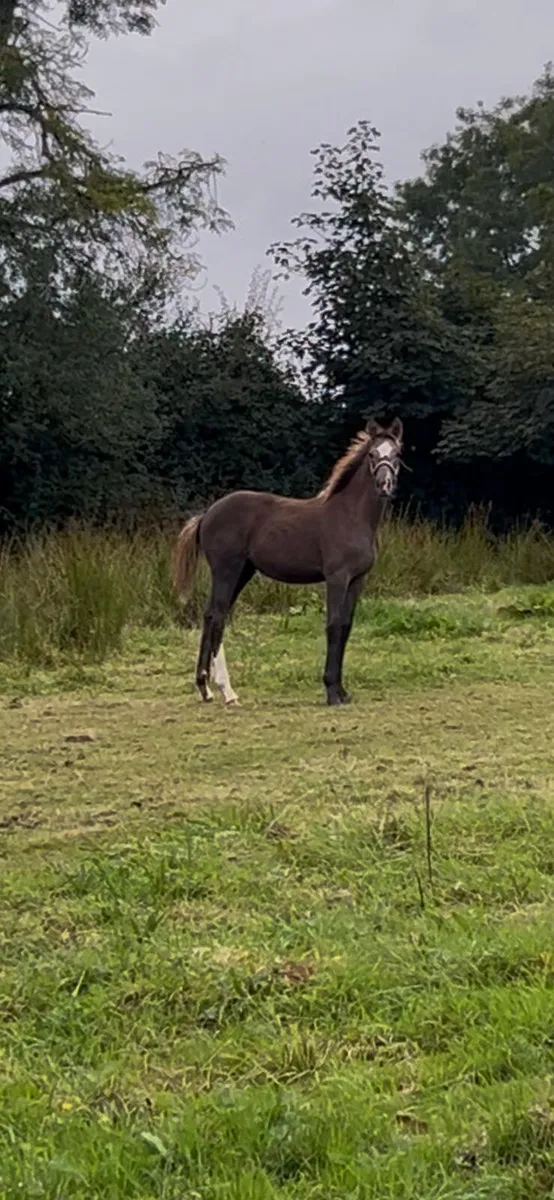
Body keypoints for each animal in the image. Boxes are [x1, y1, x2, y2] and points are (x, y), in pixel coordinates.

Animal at [173, 418, 404, 707]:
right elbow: (333, 626)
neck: (351, 516)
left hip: (243, 572)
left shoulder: (357, 580)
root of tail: (207, 514)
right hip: (227, 570)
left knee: (211, 616)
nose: (385, 484)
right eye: (372, 454)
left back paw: (206, 689)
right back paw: (227, 691)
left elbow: (346, 627)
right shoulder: (337, 578)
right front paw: (331, 691)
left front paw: (342, 691)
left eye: (396, 454)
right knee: (217, 616)